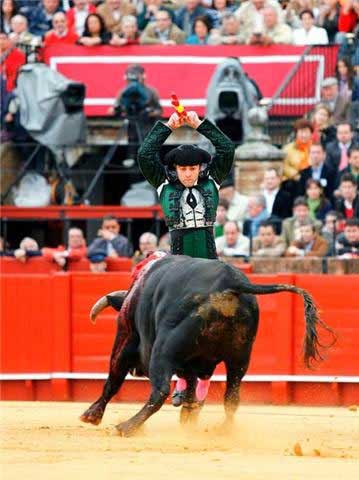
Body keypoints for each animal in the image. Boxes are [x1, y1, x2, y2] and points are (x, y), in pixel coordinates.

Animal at [80, 255, 336, 436]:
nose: (137, 371)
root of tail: (231, 282)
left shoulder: (126, 337)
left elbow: (113, 378)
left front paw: (92, 415)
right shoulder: (193, 363)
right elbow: (192, 389)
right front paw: (188, 415)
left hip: (162, 352)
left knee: (159, 391)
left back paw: (127, 426)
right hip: (240, 358)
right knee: (231, 397)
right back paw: (221, 429)